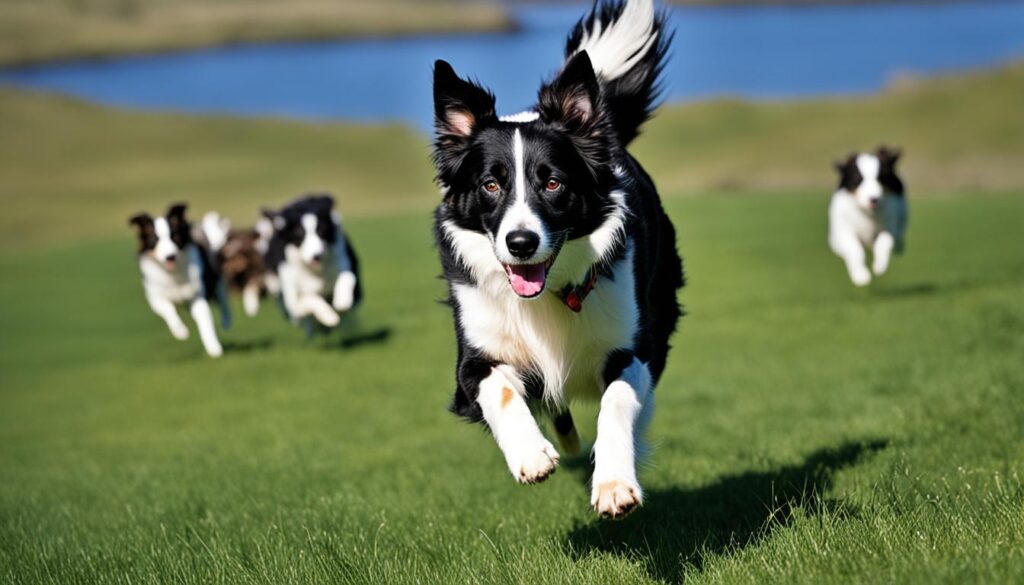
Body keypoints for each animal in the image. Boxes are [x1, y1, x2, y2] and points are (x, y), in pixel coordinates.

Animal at [130, 203, 232, 356]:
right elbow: (168, 310)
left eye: (174, 236)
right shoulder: (155, 297)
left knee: (222, 300)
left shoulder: (197, 295)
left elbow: (205, 321)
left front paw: (214, 348)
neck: (173, 275)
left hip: (216, 279)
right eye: (155, 240)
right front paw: (181, 332)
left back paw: (226, 321)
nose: (170, 256)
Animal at [262, 194, 362, 327]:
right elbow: (309, 299)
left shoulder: (344, 261)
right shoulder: (292, 302)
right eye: (299, 233)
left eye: (322, 230)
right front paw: (329, 316)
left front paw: (342, 300)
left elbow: (347, 277)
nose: (316, 256)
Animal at [430, 0, 679, 520]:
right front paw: (530, 454)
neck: (548, 295)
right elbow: (500, 389)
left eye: (552, 182)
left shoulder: (631, 347)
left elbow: (618, 400)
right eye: (490, 184)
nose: (521, 243)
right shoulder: (472, 361)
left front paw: (614, 483)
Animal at [827, 147, 909, 286]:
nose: (873, 199)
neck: (868, 215)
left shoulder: (889, 225)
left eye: (880, 179)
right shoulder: (843, 230)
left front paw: (879, 266)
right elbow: (854, 248)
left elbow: (884, 241)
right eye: (859, 180)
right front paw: (861, 276)